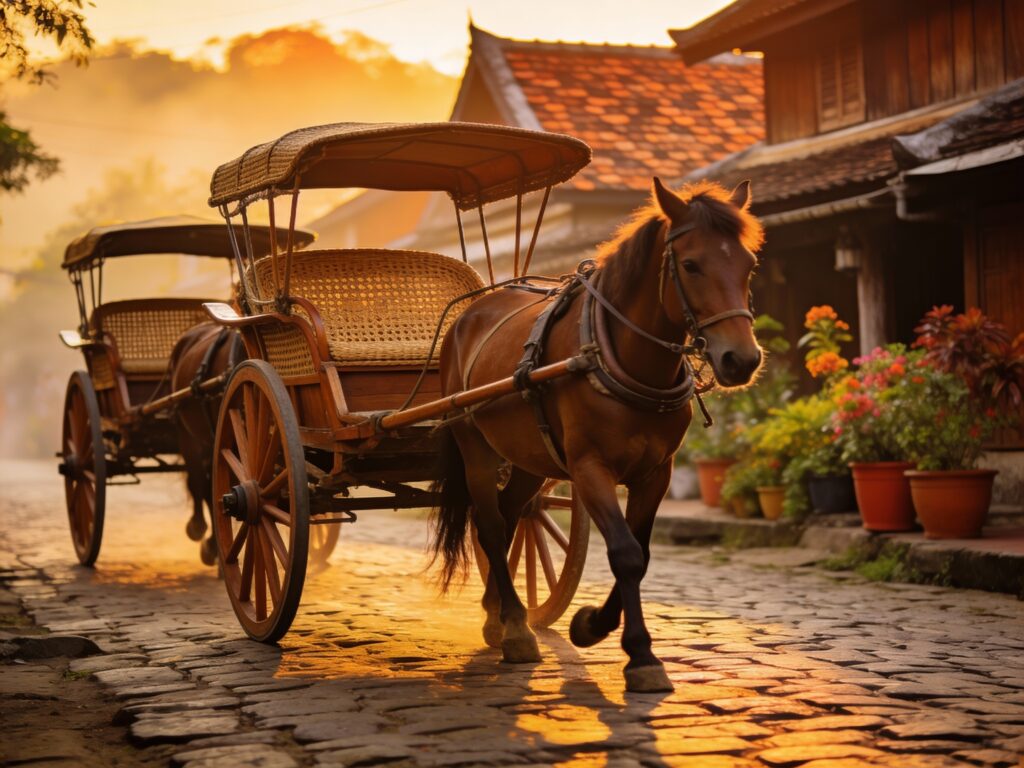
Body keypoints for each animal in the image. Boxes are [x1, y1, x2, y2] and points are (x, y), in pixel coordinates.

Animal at [430, 178, 764, 693]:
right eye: (691, 264)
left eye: (749, 264)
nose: (741, 360)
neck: (621, 359)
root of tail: (470, 313)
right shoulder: (590, 469)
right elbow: (624, 552)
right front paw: (637, 652)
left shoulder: (657, 473)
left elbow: (641, 553)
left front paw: (593, 626)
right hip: (476, 448)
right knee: (490, 525)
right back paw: (515, 628)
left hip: (529, 458)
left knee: (513, 516)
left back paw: (499, 614)